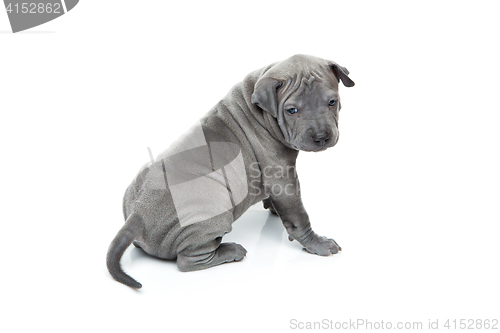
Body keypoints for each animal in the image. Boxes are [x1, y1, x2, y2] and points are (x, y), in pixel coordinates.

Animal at [107, 53, 354, 286]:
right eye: (292, 110)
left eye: (332, 102)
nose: (321, 137)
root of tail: (137, 215)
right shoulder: (282, 178)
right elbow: (298, 216)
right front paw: (318, 243)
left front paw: (273, 207)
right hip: (213, 211)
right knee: (188, 260)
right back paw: (230, 251)